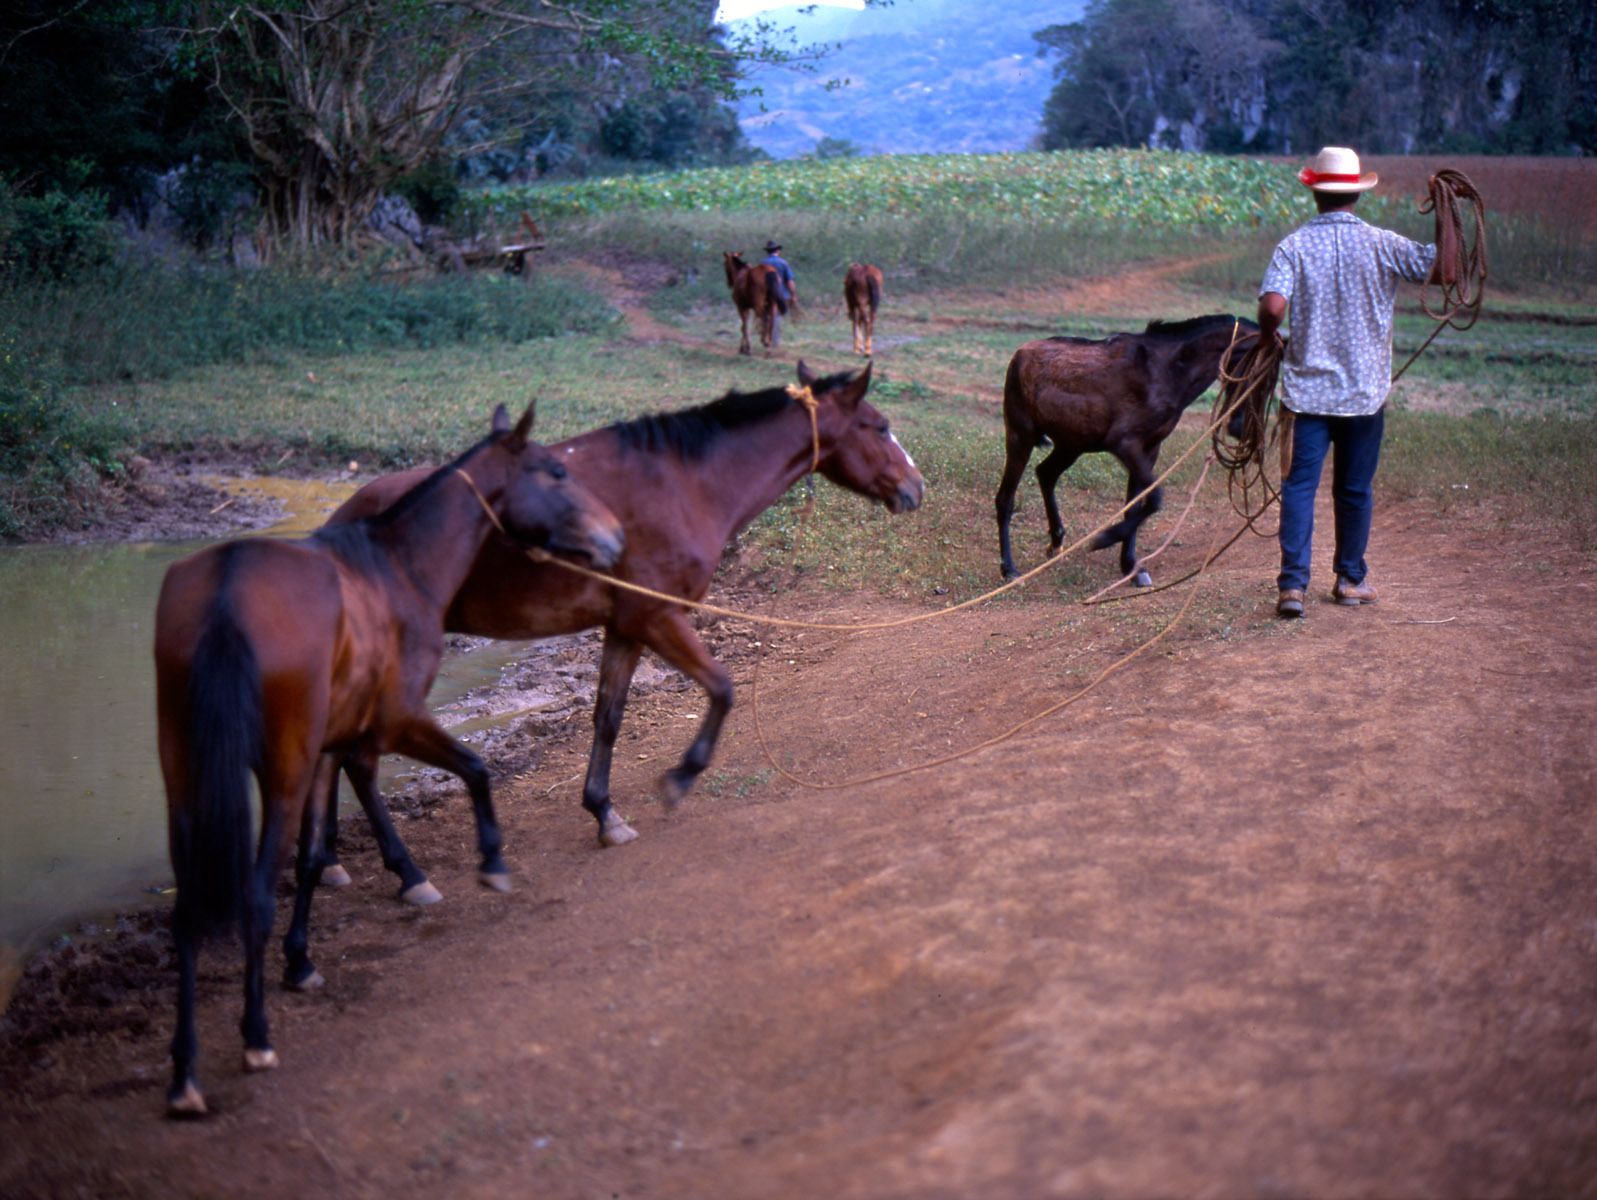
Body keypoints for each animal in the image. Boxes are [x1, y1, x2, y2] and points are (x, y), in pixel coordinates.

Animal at [153, 404, 624, 1117]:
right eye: (555, 472)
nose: (615, 539)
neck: (396, 566)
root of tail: (227, 591)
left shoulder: (334, 743)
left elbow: (315, 855)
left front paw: (300, 960)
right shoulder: (393, 722)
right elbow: (475, 769)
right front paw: (490, 862)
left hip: (184, 773)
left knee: (187, 916)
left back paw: (184, 1072)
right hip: (282, 771)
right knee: (255, 896)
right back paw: (255, 1037)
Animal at [316, 361, 924, 908]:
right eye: (879, 426)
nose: (916, 486)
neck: (683, 483)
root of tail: (340, 524)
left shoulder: (625, 628)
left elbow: (608, 717)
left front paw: (604, 813)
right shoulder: (658, 618)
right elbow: (723, 688)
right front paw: (679, 779)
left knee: (337, 758)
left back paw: (328, 862)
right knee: (358, 763)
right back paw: (405, 873)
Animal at [995, 314, 1259, 584]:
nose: (1240, 427)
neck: (1166, 369)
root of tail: (1019, 354)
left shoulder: (1150, 449)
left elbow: (1135, 505)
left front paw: (1130, 566)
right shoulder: (1125, 444)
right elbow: (1154, 498)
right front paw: (1105, 539)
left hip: (1071, 445)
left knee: (1046, 474)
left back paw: (1056, 541)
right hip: (1021, 437)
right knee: (1005, 499)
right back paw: (1010, 569)